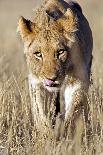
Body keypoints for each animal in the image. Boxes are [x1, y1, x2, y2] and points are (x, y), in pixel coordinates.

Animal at [17, 0, 92, 137]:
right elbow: (39, 111)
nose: (52, 78)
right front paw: (47, 135)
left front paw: (67, 135)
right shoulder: (36, 82)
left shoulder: (78, 79)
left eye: (60, 52)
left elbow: (74, 109)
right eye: (38, 54)